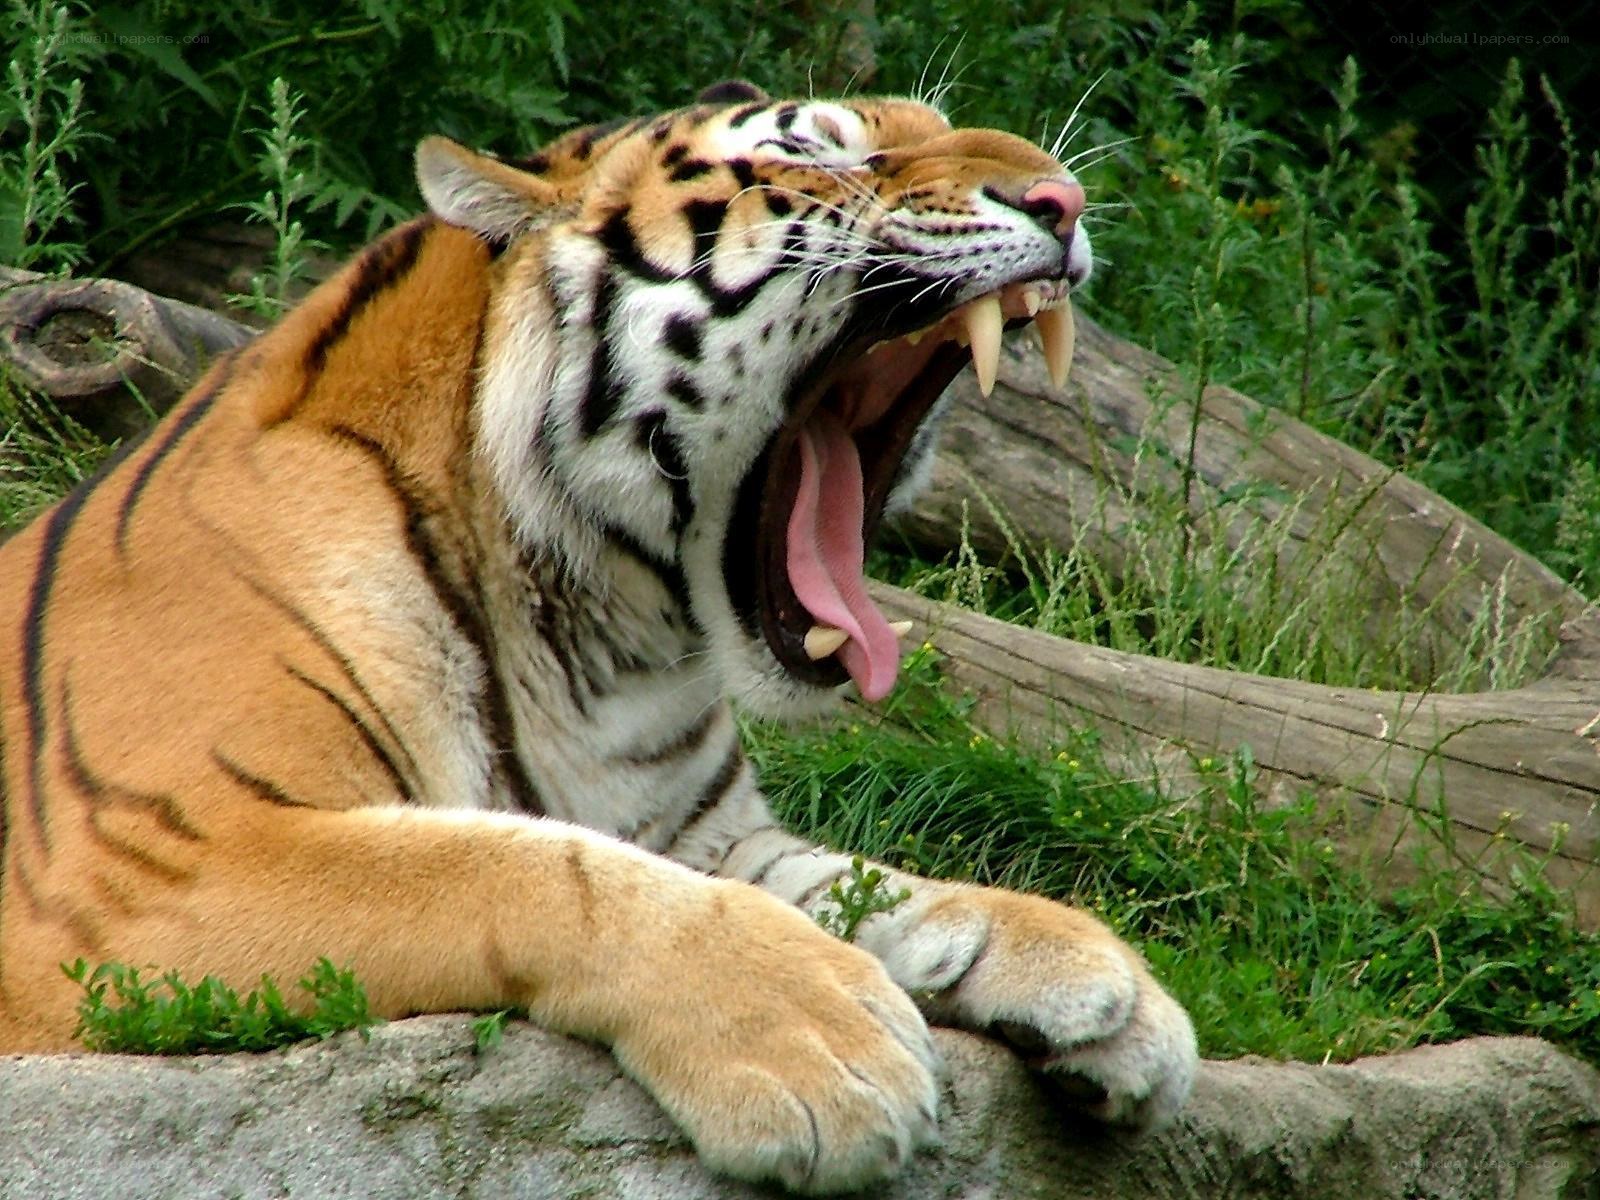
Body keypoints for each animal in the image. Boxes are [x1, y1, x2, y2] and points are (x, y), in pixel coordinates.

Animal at [0, 81, 1197, 1193]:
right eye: (817, 150)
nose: (1065, 198)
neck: (600, 633)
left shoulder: (712, 837)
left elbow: (874, 887)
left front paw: (1099, 980)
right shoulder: (156, 859)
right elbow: (524, 869)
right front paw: (825, 1043)